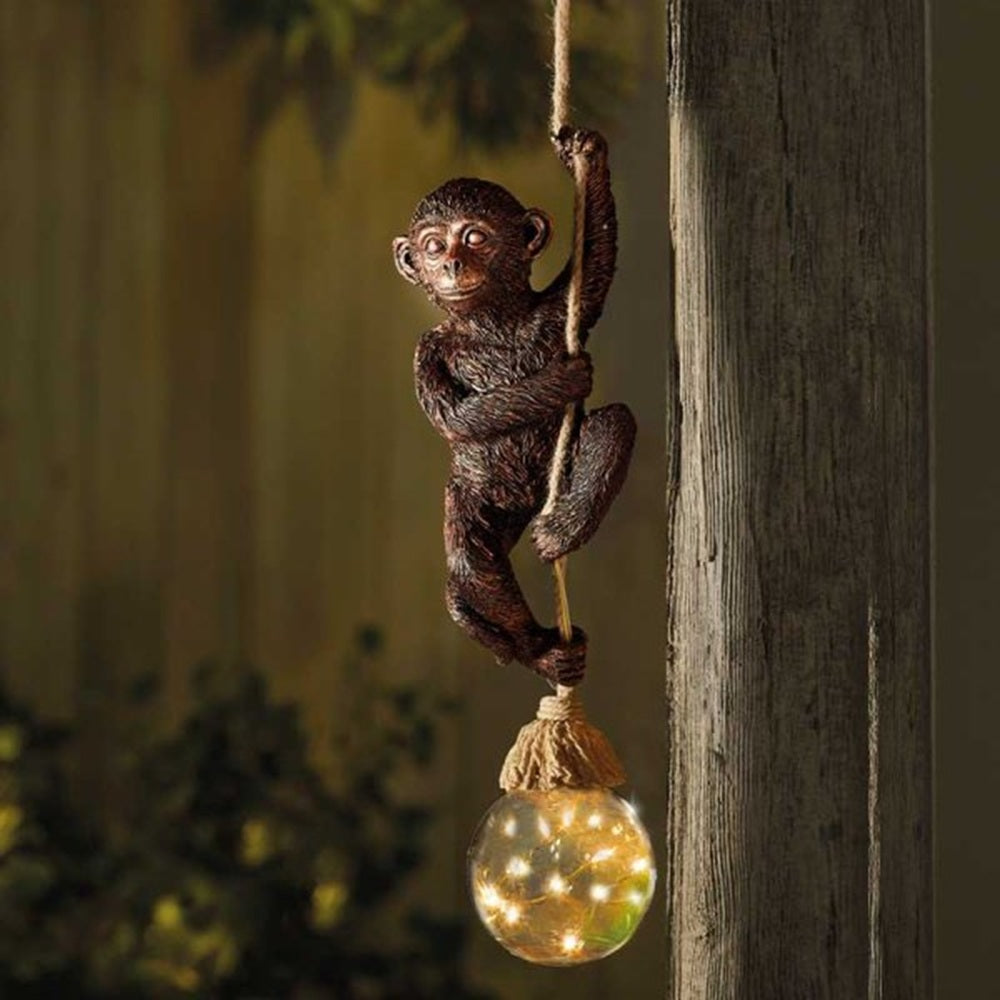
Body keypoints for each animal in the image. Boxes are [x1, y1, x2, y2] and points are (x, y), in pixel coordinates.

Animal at [392, 127, 635, 688]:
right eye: (432, 246)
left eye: (475, 238)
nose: (452, 264)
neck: (491, 322)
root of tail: (527, 506)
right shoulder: (425, 350)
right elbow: (455, 419)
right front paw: (562, 379)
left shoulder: (554, 312)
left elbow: (596, 262)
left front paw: (585, 153)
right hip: (475, 497)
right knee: (470, 573)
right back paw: (543, 652)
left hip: (555, 478)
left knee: (613, 424)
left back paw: (562, 531)